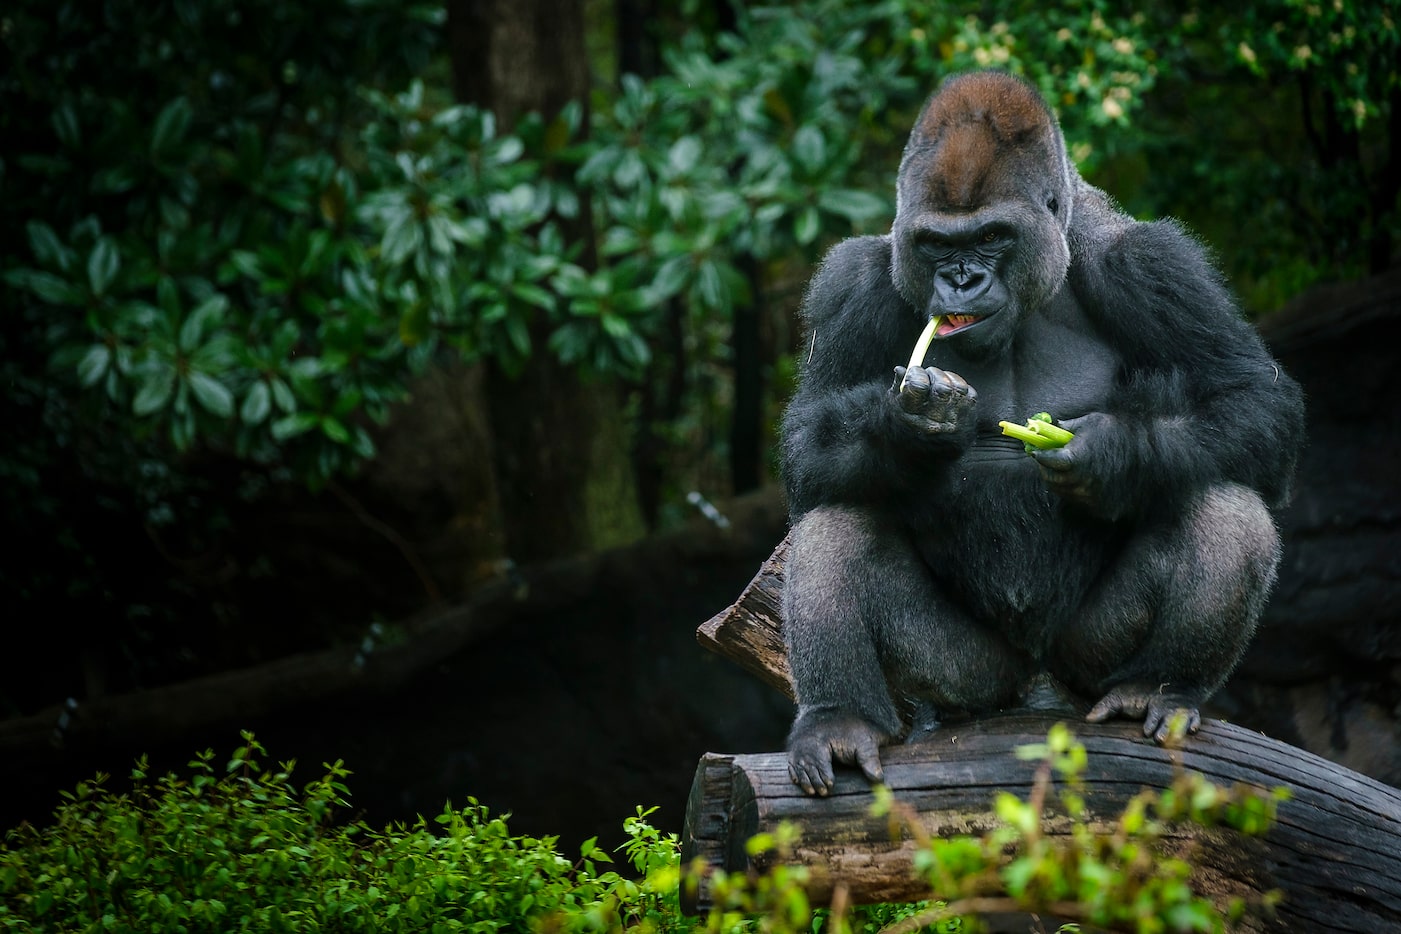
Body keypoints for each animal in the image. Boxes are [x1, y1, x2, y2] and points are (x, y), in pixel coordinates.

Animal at [778, 71, 1300, 795]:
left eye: (992, 236)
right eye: (937, 245)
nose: (961, 279)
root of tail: (1037, 687)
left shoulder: (1153, 263)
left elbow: (1253, 400)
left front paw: (1113, 455)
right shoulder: (852, 282)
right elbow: (807, 451)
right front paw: (907, 430)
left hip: (1084, 659)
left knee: (1219, 493)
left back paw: (1159, 685)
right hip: (969, 680)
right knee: (840, 515)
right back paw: (839, 718)